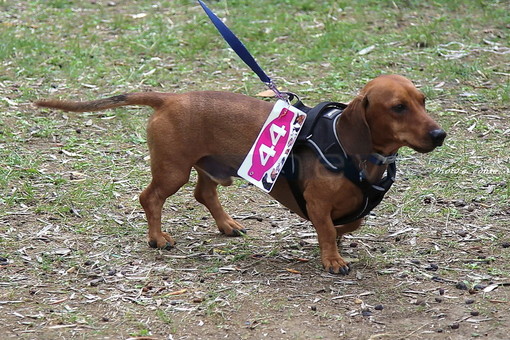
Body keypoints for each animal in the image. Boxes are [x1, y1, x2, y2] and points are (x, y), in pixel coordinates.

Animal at [35, 74, 444, 274]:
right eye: (398, 107)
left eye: (422, 101)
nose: (440, 135)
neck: (350, 150)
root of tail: (169, 98)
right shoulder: (316, 202)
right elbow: (327, 229)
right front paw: (332, 259)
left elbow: (347, 224)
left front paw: (339, 242)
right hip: (173, 171)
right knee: (150, 198)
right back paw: (158, 238)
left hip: (210, 168)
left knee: (203, 194)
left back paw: (227, 225)